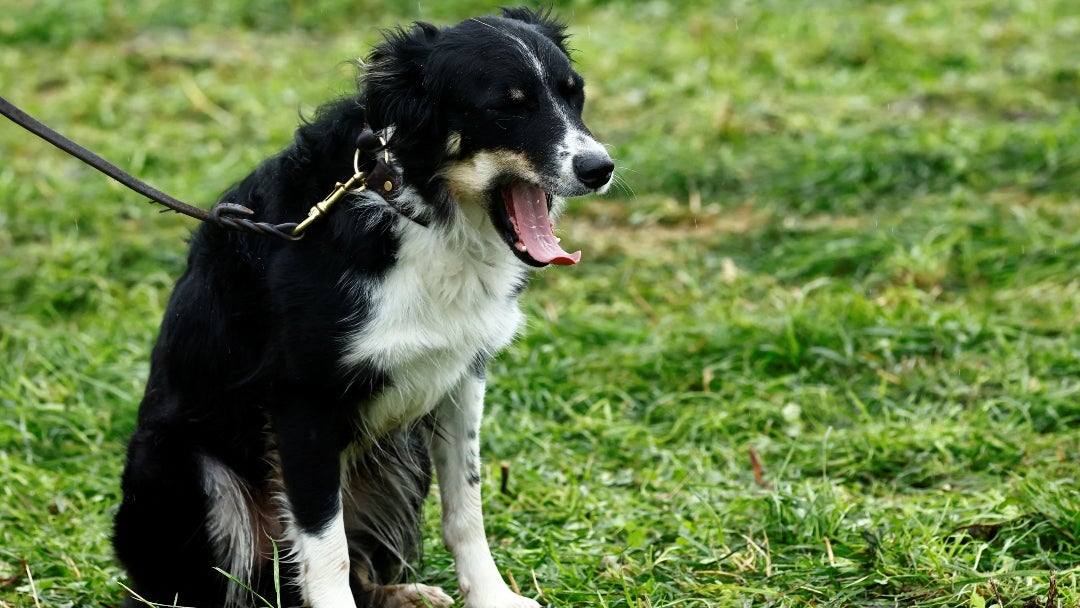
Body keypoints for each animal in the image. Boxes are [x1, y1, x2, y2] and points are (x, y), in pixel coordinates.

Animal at [112, 5, 613, 608]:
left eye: (574, 95)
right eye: (505, 106)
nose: (601, 168)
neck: (415, 206)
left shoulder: (461, 375)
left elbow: (465, 507)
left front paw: (491, 596)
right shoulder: (301, 401)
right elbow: (323, 544)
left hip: (401, 450)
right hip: (187, 469)